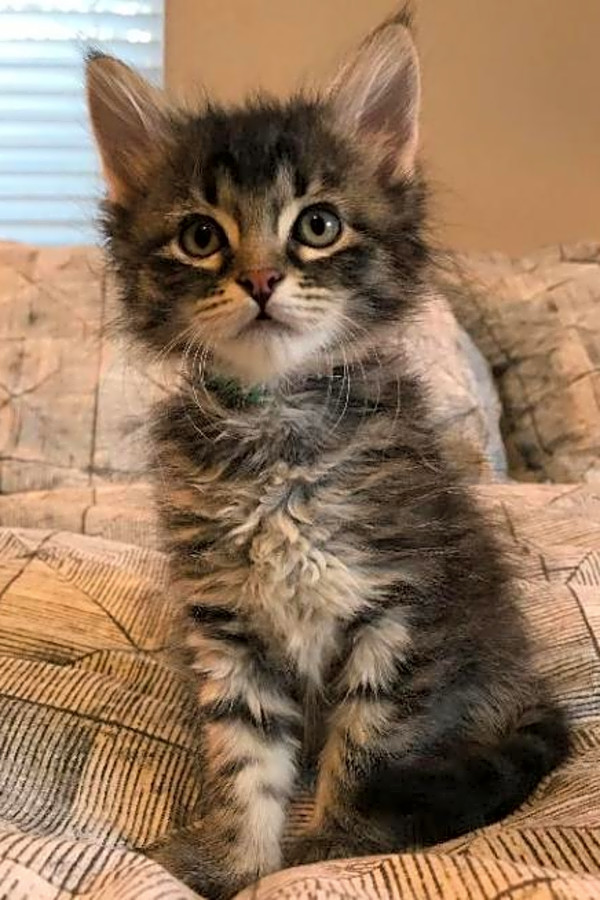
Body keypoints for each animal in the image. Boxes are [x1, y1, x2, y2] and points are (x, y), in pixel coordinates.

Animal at [86, 12, 568, 900]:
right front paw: (238, 864)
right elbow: (243, 759)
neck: (277, 430)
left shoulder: (399, 610)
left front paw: (334, 854)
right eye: (200, 237)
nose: (260, 280)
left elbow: (369, 749)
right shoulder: (227, 629)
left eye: (317, 225)